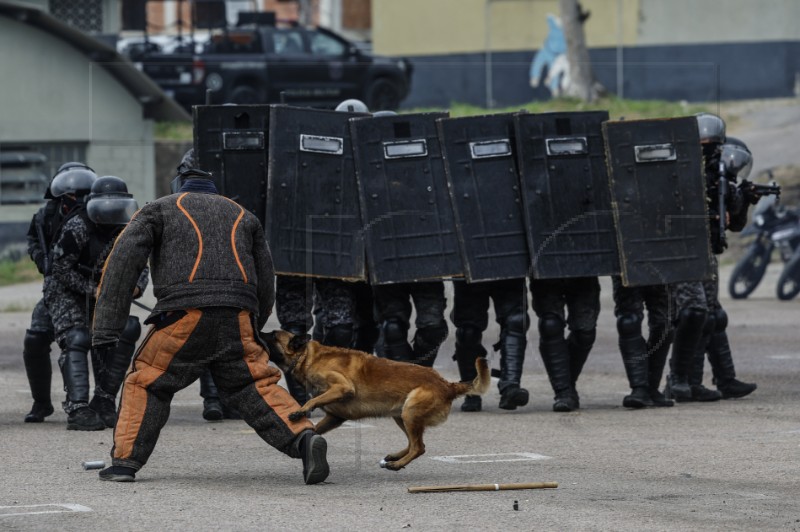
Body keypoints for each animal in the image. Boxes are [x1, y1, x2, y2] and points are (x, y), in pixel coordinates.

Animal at [264, 330, 488, 472]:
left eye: (272, 335)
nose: (258, 330)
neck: (307, 356)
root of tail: (448, 385)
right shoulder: (335, 417)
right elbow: (315, 428)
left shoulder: (342, 387)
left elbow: (314, 401)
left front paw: (300, 411)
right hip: (402, 415)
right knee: (415, 444)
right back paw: (395, 457)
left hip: (410, 412)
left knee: (418, 447)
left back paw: (396, 464)